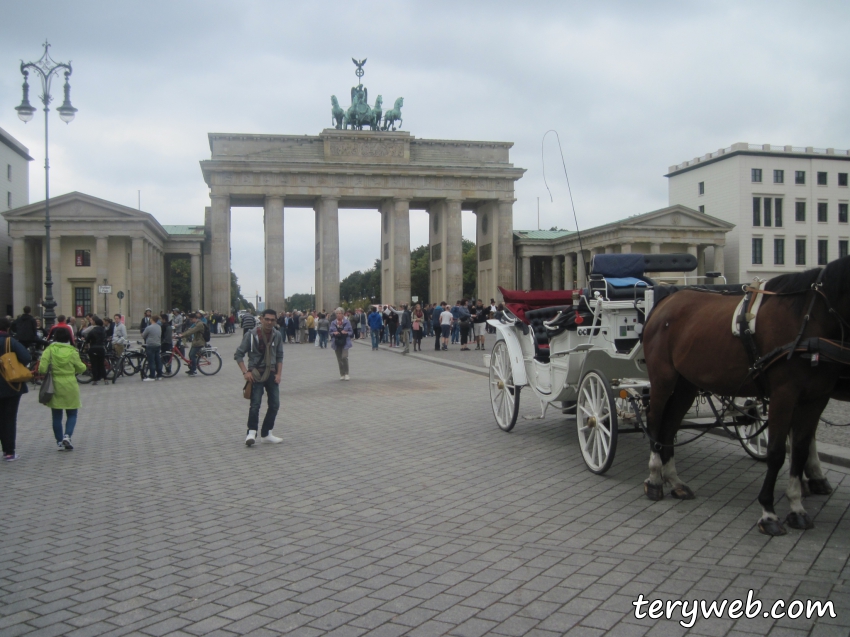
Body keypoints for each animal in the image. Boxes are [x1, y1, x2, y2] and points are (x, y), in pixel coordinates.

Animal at [640, 256, 844, 536]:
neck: (808, 319)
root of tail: (665, 302)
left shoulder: (816, 398)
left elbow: (800, 449)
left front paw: (797, 508)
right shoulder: (784, 394)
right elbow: (777, 453)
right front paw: (769, 513)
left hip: (686, 384)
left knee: (669, 424)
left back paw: (674, 481)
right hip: (663, 377)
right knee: (654, 418)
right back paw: (654, 479)